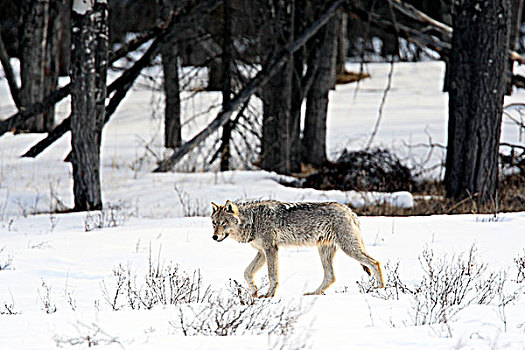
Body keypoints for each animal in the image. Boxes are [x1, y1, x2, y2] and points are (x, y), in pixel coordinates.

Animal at [209, 200, 384, 298]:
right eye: (214, 223)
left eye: (224, 223)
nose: (214, 237)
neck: (253, 221)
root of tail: (349, 211)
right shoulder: (262, 252)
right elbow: (246, 273)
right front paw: (254, 292)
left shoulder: (271, 250)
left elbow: (272, 276)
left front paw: (269, 295)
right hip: (325, 252)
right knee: (330, 276)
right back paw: (314, 293)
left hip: (349, 248)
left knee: (375, 263)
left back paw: (380, 289)